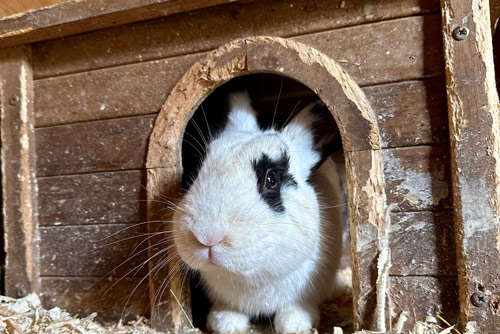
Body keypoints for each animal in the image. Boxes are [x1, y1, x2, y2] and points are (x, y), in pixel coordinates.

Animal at [172, 92, 344, 334]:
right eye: (197, 172)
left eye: (271, 180)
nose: (207, 236)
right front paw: (225, 322)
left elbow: (294, 311)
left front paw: (294, 324)